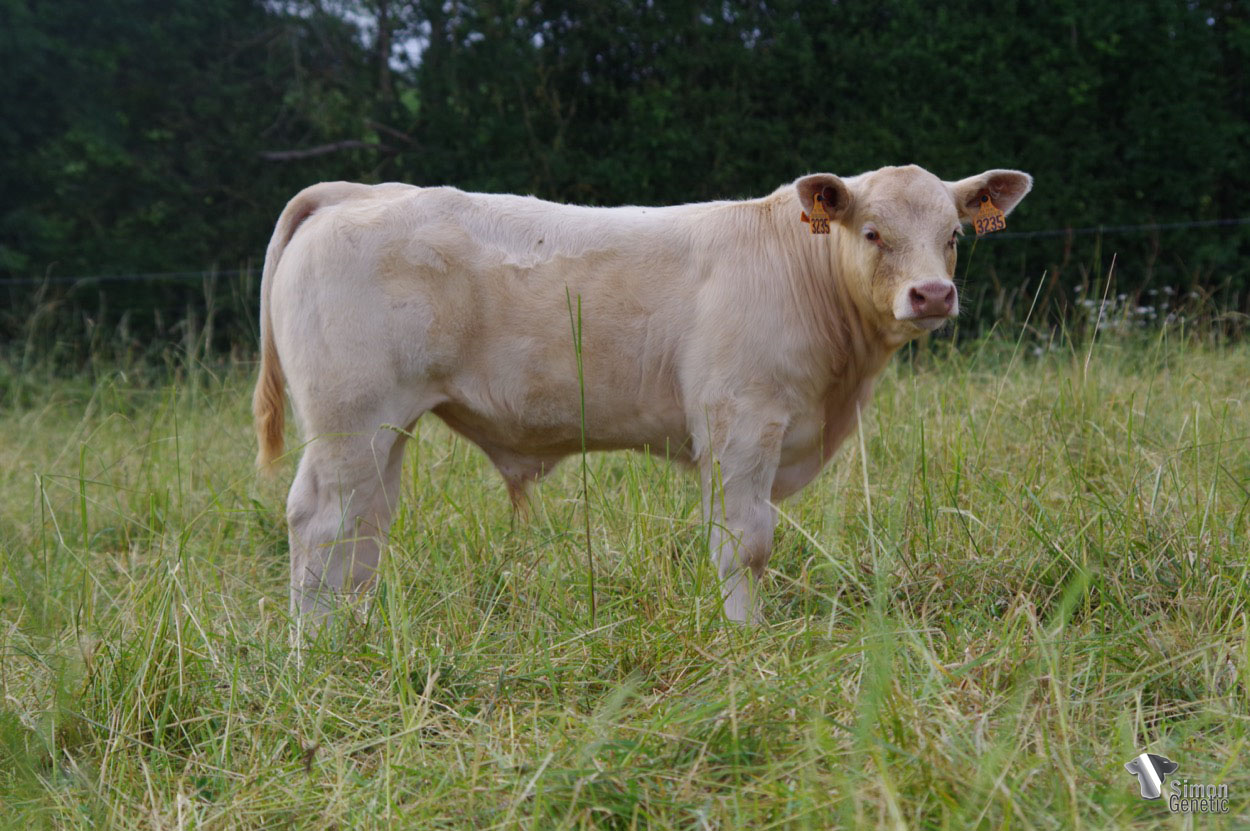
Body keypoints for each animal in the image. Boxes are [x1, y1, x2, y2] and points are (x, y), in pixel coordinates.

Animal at [253, 165, 1032, 628]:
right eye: (872, 232)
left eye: (954, 235)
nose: (931, 294)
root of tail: (360, 191)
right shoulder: (741, 424)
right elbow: (744, 542)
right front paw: (747, 639)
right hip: (350, 419)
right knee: (321, 523)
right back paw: (316, 650)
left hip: (385, 428)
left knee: (364, 530)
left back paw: (353, 637)